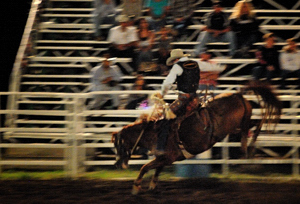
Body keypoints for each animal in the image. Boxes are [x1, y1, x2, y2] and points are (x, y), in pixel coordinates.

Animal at [112, 80, 282, 194]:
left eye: (119, 145)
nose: (118, 164)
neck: (153, 132)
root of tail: (238, 94)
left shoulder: (168, 157)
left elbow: (145, 167)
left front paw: (136, 187)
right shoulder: (165, 158)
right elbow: (156, 169)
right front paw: (152, 186)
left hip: (239, 122)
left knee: (254, 125)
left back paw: (247, 147)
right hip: (237, 126)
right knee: (254, 124)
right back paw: (249, 146)